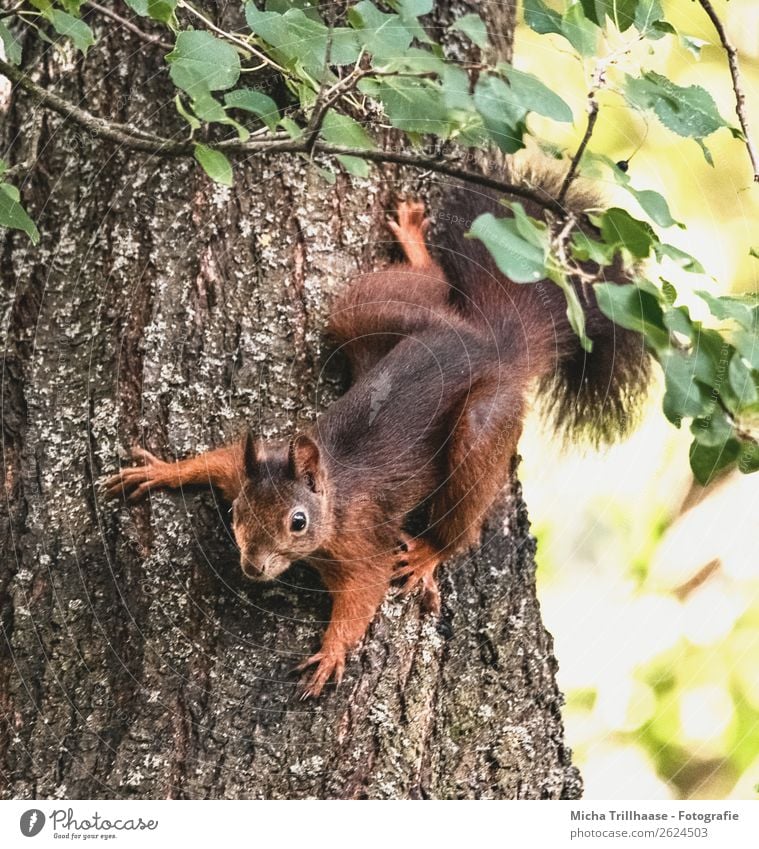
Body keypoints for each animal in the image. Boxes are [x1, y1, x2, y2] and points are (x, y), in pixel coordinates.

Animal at [104, 186, 652, 696]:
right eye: (237, 513)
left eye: (297, 521)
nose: (253, 568)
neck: (331, 496)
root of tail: (492, 343)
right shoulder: (250, 465)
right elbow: (215, 461)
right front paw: (160, 469)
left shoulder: (361, 543)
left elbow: (364, 593)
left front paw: (330, 653)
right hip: (371, 310)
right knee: (424, 286)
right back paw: (414, 245)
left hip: (482, 419)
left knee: (467, 514)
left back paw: (431, 551)